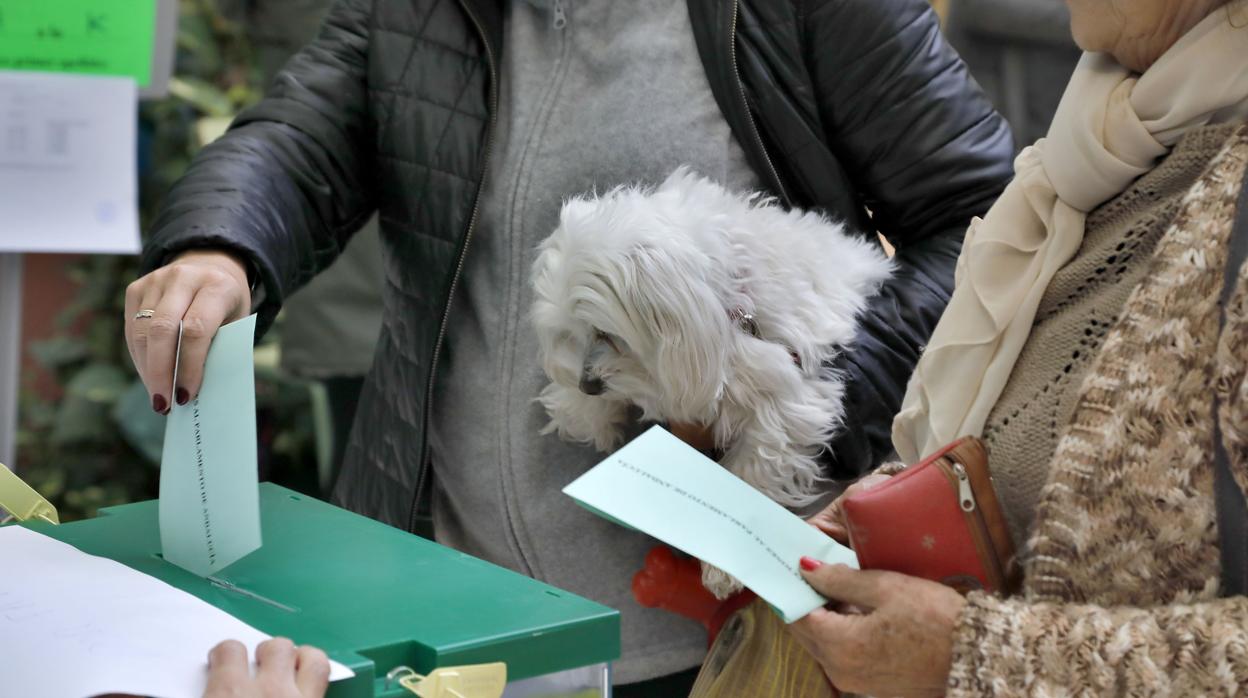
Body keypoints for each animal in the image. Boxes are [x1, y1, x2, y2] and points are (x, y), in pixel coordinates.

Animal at [531, 168, 893, 594]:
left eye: (605, 333)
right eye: (569, 332)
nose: (588, 385)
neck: (726, 302)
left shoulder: (789, 392)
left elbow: (754, 462)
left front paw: (723, 563)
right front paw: (582, 411)